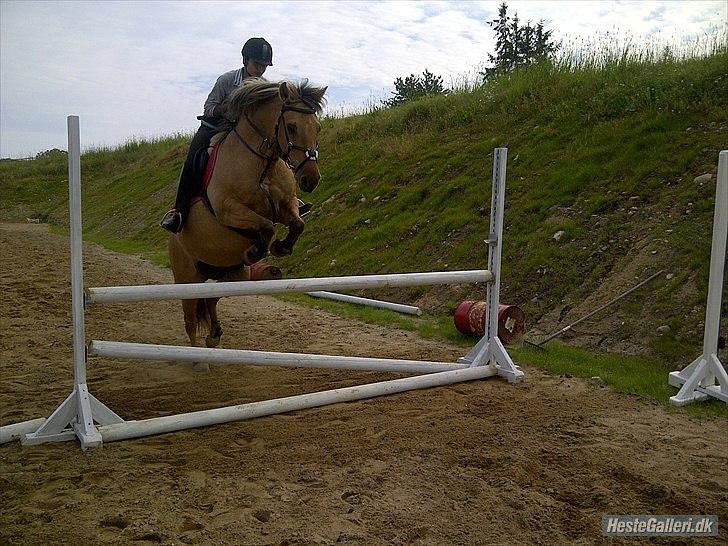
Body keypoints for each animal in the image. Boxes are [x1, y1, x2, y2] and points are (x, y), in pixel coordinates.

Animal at [168, 76, 328, 368]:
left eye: (317, 127)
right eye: (291, 127)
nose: (311, 180)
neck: (262, 163)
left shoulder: (286, 206)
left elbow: (297, 224)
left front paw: (280, 247)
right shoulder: (228, 209)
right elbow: (265, 226)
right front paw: (257, 250)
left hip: (235, 274)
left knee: (211, 299)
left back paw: (214, 337)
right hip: (185, 278)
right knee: (190, 319)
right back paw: (198, 360)